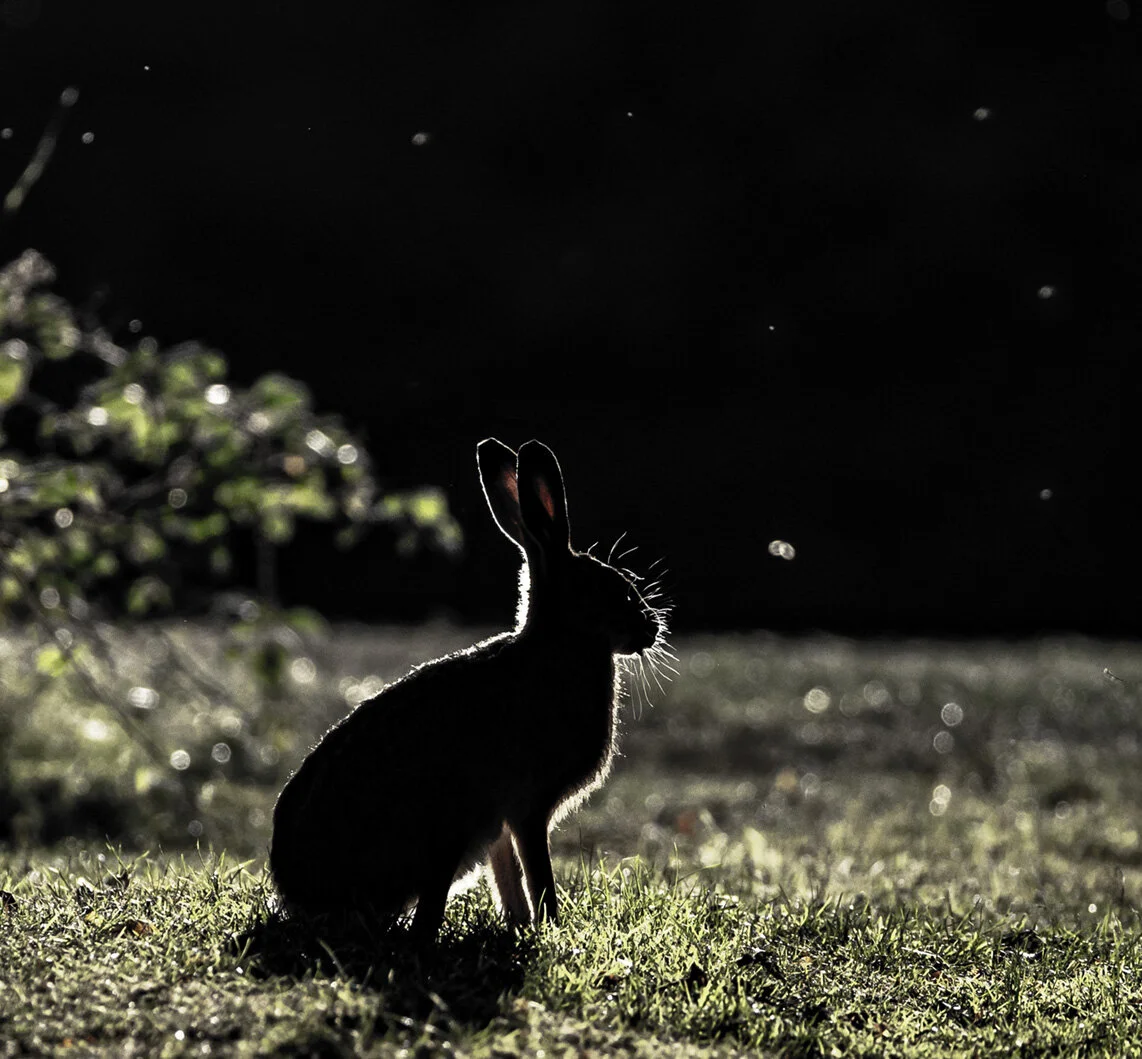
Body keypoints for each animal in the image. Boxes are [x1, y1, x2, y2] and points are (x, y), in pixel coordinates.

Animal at [269, 438, 671, 941]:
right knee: (424, 917)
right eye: (613, 590)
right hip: (443, 827)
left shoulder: (500, 824)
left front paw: (522, 925)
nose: (651, 629)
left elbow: (508, 876)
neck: (560, 641)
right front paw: (552, 927)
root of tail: (304, 896)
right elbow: (537, 872)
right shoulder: (528, 808)